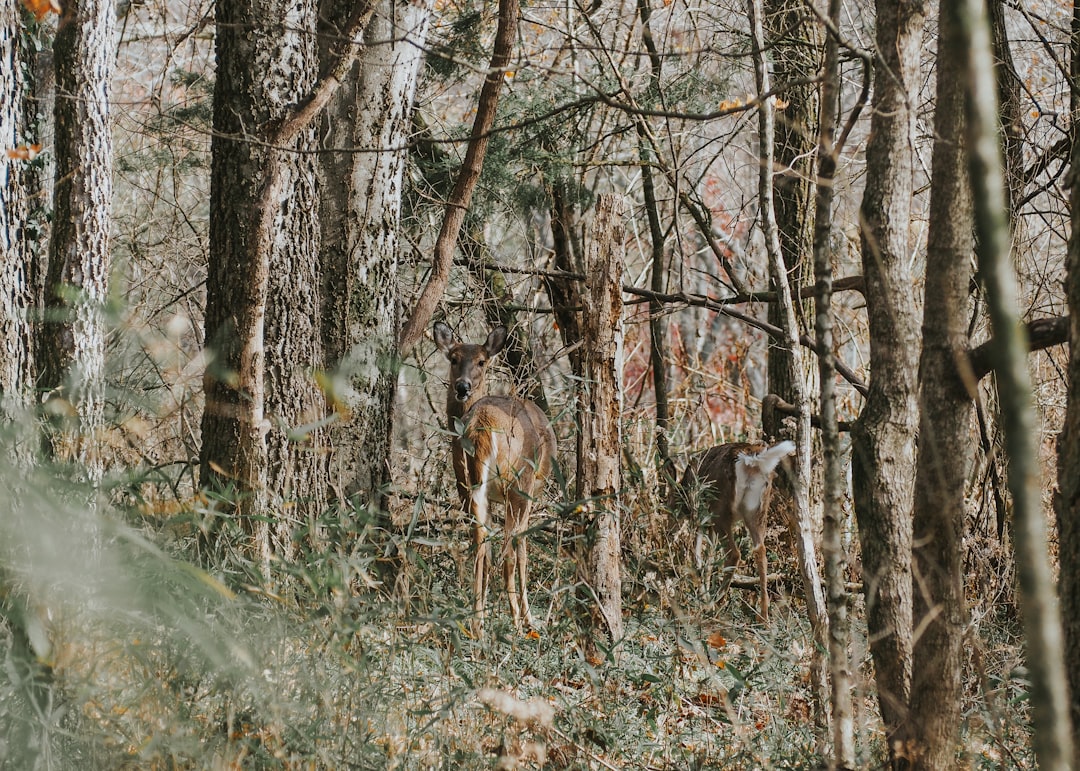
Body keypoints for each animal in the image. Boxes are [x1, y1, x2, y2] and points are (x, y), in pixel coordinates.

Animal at [433, 322, 557, 636]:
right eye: (453, 359)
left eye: (481, 361)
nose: (462, 386)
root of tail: (481, 426)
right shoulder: (528, 490)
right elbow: (521, 551)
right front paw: (526, 616)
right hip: (518, 482)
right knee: (509, 549)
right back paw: (516, 620)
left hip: (467, 483)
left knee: (482, 541)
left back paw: (477, 622)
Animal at [671, 439, 796, 621]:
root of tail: (751, 460)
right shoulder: (708, 525)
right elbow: (709, 561)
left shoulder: (699, 516)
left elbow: (697, 558)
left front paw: (703, 598)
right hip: (757, 510)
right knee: (760, 550)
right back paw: (763, 616)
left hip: (720, 508)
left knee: (734, 553)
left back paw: (716, 605)